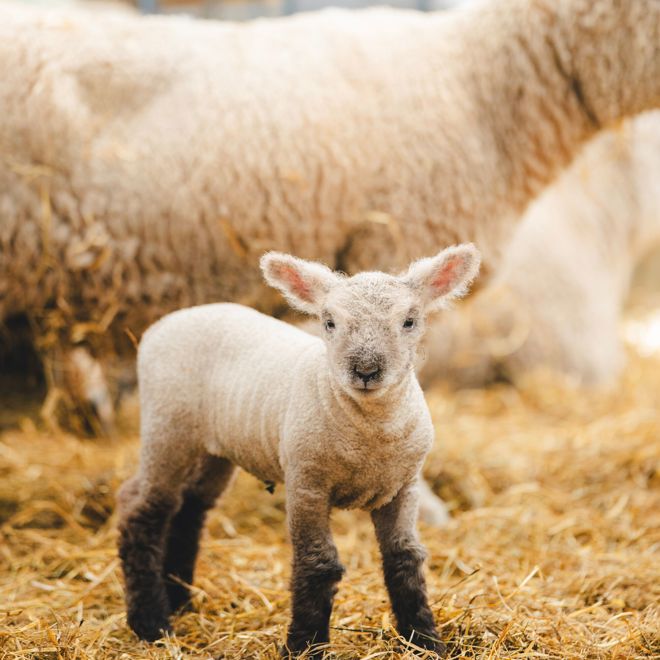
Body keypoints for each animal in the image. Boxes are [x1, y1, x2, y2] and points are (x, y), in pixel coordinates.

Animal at [116, 244, 480, 653]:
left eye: (409, 321)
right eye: (329, 322)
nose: (366, 371)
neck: (369, 436)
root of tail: (164, 324)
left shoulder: (403, 487)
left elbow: (404, 557)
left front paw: (424, 640)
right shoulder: (307, 483)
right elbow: (318, 563)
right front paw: (305, 645)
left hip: (213, 450)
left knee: (188, 511)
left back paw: (180, 600)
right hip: (166, 428)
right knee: (142, 509)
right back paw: (151, 622)